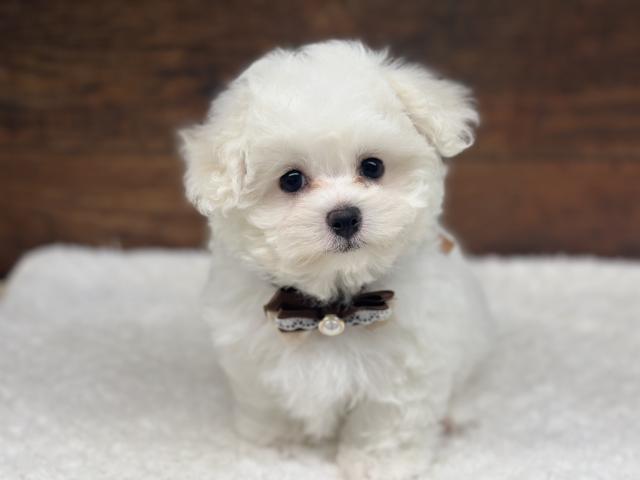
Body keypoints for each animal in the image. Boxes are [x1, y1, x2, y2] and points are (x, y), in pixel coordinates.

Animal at [180, 40, 492, 479]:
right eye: (291, 180)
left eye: (373, 166)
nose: (345, 217)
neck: (331, 308)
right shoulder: (255, 362)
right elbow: (268, 405)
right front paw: (276, 447)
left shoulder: (404, 369)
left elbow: (387, 422)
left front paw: (377, 465)